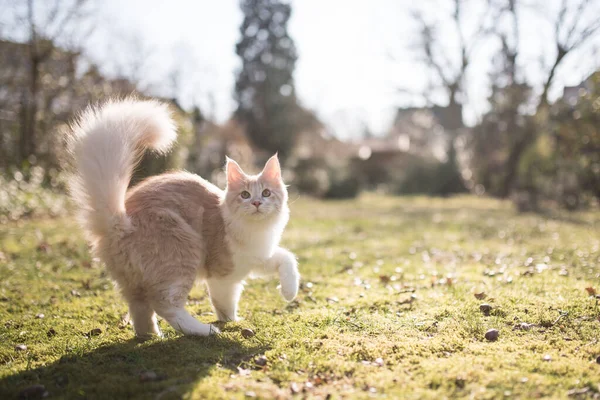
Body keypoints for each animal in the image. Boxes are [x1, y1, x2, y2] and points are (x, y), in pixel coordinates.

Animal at [68, 98, 300, 336]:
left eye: (266, 193)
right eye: (245, 195)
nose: (256, 203)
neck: (257, 231)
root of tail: (120, 221)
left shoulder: (259, 258)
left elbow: (288, 259)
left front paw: (289, 292)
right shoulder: (222, 275)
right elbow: (224, 303)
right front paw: (229, 322)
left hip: (136, 283)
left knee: (141, 313)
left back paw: (152, 337)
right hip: (181, 253)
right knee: (166, 306)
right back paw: (203, 330)